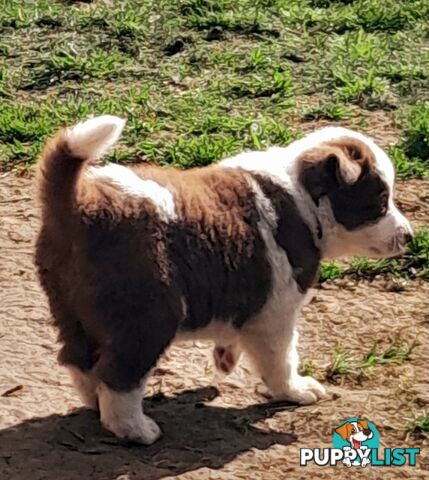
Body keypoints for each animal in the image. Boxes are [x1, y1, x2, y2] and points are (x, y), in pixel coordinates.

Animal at [36, 115, 412, 442]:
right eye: (380, 201)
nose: (409, 237)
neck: (303, 197)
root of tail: (79, 204)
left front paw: (226, 357)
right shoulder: (277, 311)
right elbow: (282, 358)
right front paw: (296, 390)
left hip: (70, 310)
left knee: (79, 360)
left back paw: (95, 403)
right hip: (147, 316)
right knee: (119, 375)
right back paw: (135, 429)